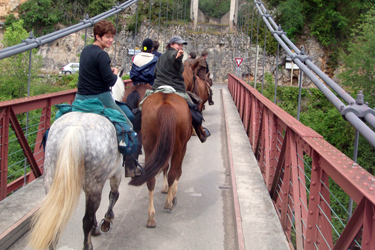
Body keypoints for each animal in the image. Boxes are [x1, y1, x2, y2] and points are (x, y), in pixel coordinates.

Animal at [130, 92, 194, 229]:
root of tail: (166, 104)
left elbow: (164, 166)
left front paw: (165, 188)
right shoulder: (183, 147)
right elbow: (177, 171)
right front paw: (172, 193)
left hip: (149, 145)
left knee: (150, 178)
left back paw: (151, 217)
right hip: (177, 147)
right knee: (172, 173)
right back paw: (169, 202)